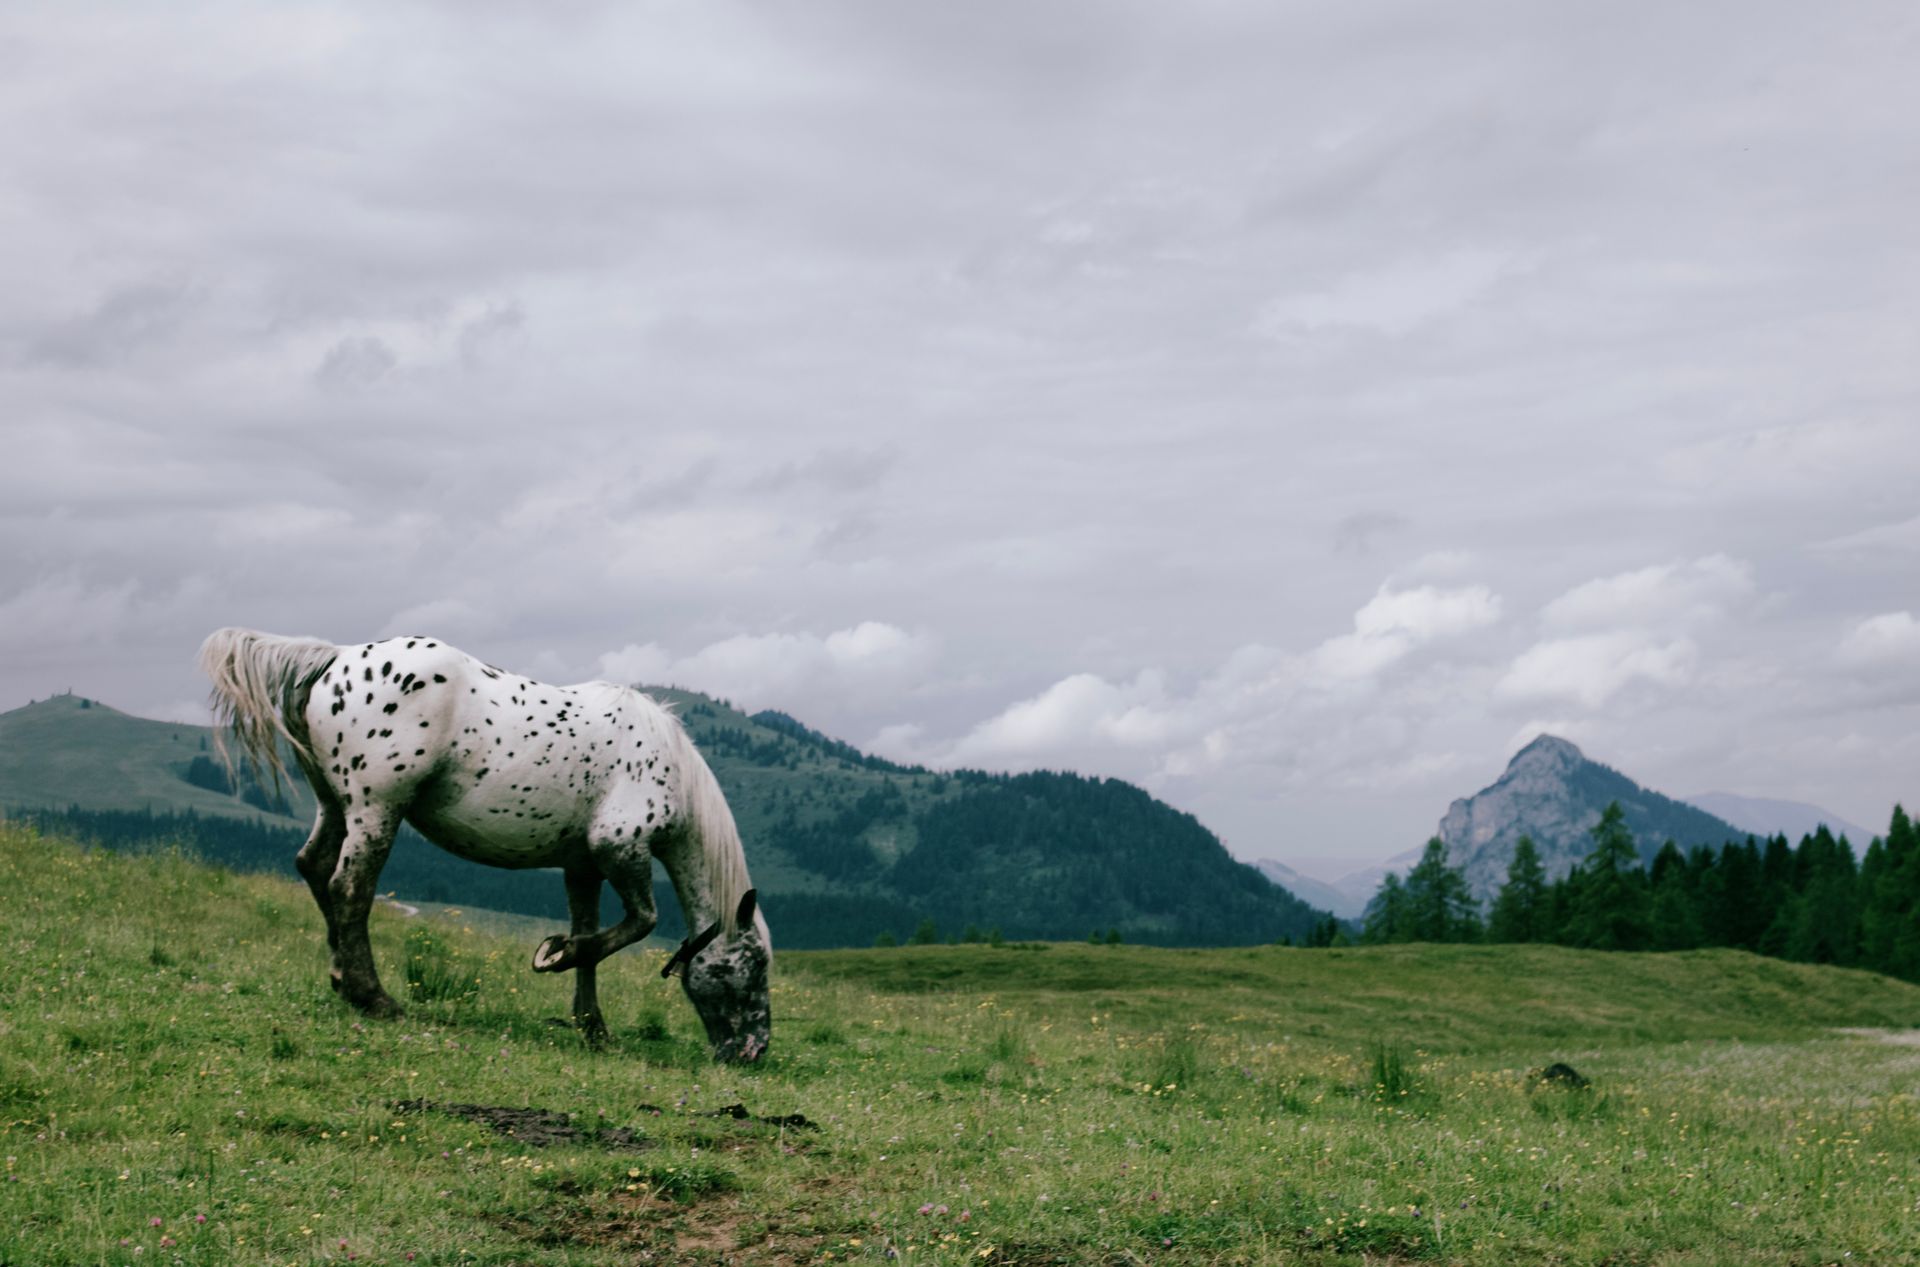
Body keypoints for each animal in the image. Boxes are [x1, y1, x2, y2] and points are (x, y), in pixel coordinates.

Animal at [198, 627, 772, 1063]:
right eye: (758, 965)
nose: (754, 1051)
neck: (665, 760)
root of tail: (335, 658)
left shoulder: (583, 865)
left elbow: (593, 937)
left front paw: (592, 1025)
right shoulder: (620, 850)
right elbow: (637, 924)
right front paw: (555, 956)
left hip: (334, 804)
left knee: (314, 868)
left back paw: (343, 979)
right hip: (376, 809)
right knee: (350, 889)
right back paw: (373, 997)